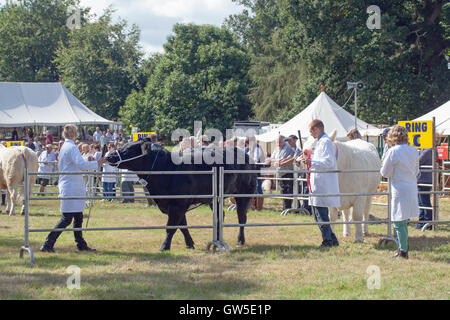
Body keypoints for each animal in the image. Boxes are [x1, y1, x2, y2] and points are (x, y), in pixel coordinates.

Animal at [105, 139, 256, 251]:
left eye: (127, 150)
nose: (108, 156)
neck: (167, 168)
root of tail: (247, 157)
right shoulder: (176, 205)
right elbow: (182, 226)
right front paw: (190, 244)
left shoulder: (177, 204)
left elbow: (171, 227)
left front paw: (164, 247)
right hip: (214, 200)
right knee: (220, 216)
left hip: (243, 194)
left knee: (242, 217)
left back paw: (240, 241)